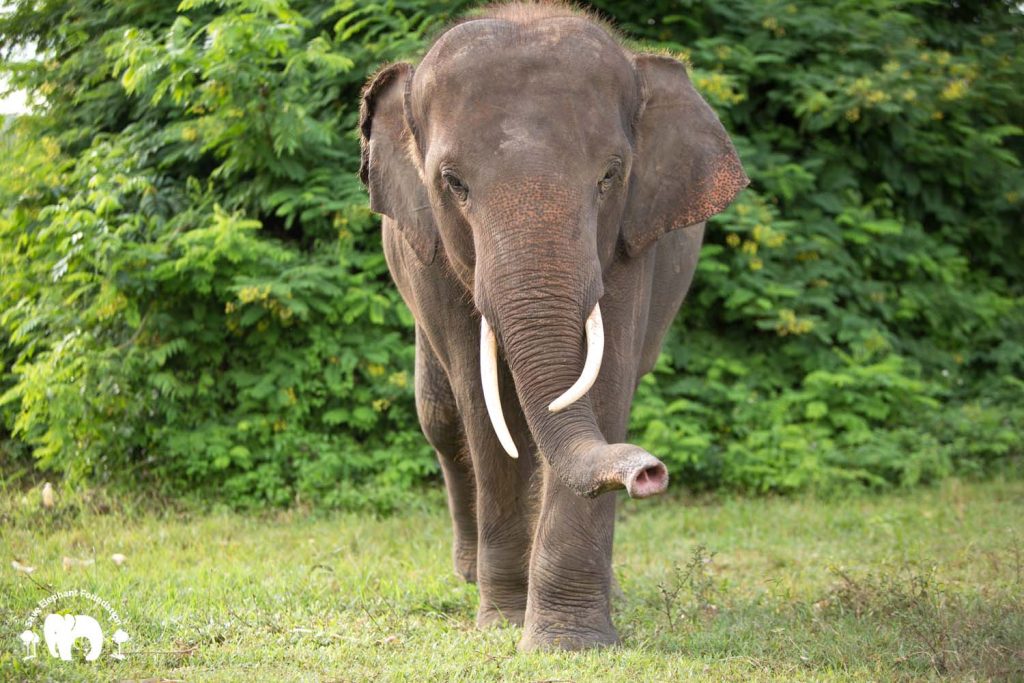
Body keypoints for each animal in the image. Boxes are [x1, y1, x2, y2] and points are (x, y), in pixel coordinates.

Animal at [358, 3, 747, 651]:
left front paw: (569, 641)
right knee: (439, 416)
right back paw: (468, 575)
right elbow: (483, 405)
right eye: (453, 183)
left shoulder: (631, 240)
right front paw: (504, 621)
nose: (649, 473)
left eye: (610, 176)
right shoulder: (432, 256)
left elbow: (607, 383)